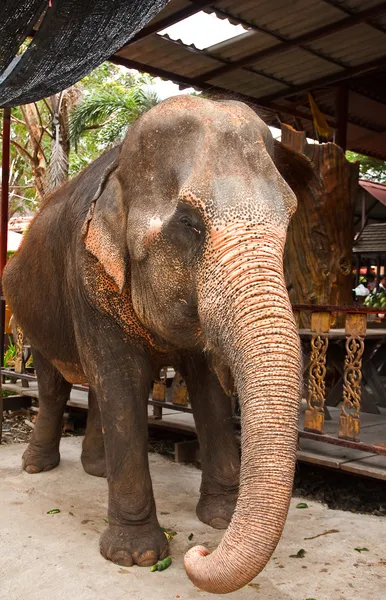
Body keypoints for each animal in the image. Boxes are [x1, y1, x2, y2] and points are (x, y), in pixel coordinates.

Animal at [3, 95, 316, 596]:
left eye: (289, 218)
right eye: (190, 223)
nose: (200, 552)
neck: (120, 170)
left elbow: (207, 389)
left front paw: (219, 518)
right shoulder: (85, 273)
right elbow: (123, 380)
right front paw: (137, 556)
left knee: (94, 386)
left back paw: (97, 470)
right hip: (29, 308)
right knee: (54, 385)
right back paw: (37, 467)